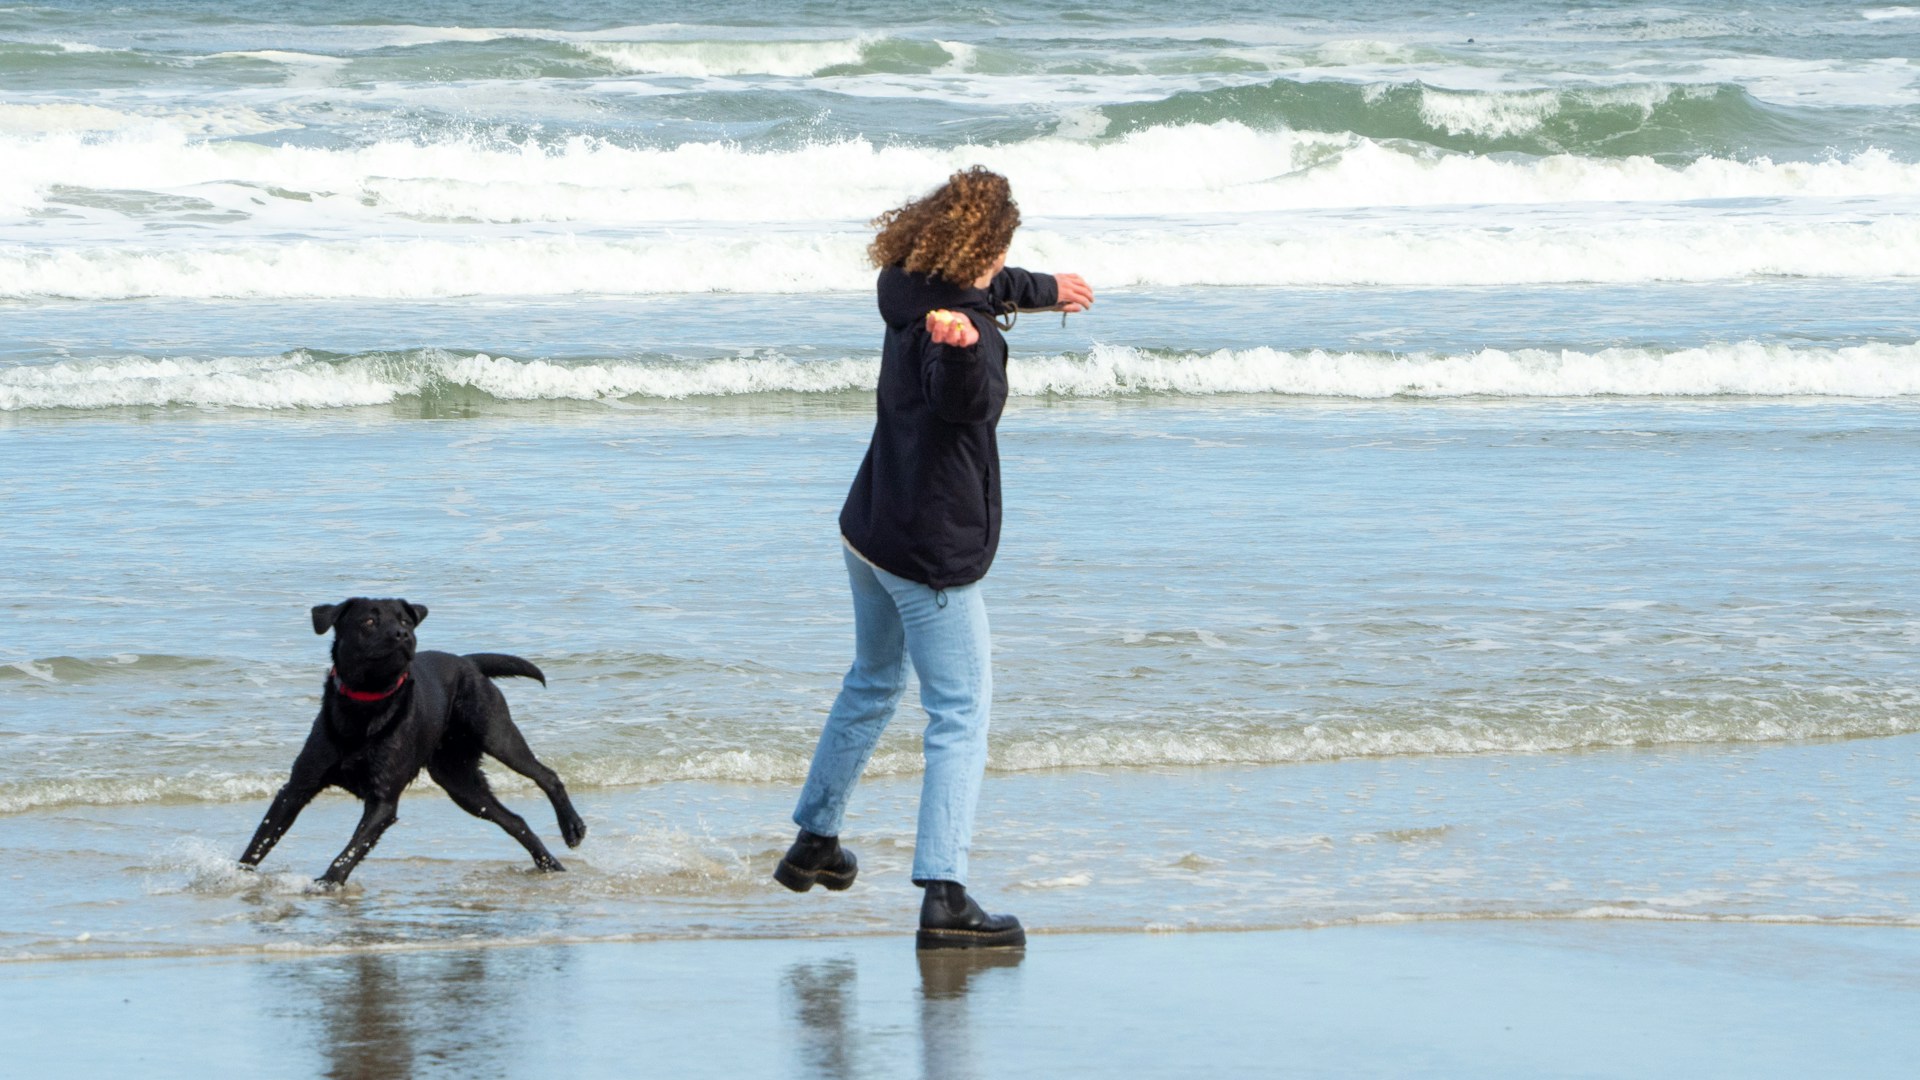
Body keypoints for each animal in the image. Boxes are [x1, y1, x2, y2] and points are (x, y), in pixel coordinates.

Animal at [240, 595, 583, 883]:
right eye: (369, 621)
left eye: (405, 621)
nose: (402, 635)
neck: (367, 703)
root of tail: (468, 662)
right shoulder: (297, 787)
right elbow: (262, 838)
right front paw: (239, 873)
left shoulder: (383, 800)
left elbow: (352, 849)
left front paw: (327, 882)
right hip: (459, 781)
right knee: (514, 820)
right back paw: (550, 864)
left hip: (496, 733)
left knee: (546, 775)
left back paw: (573, 828)